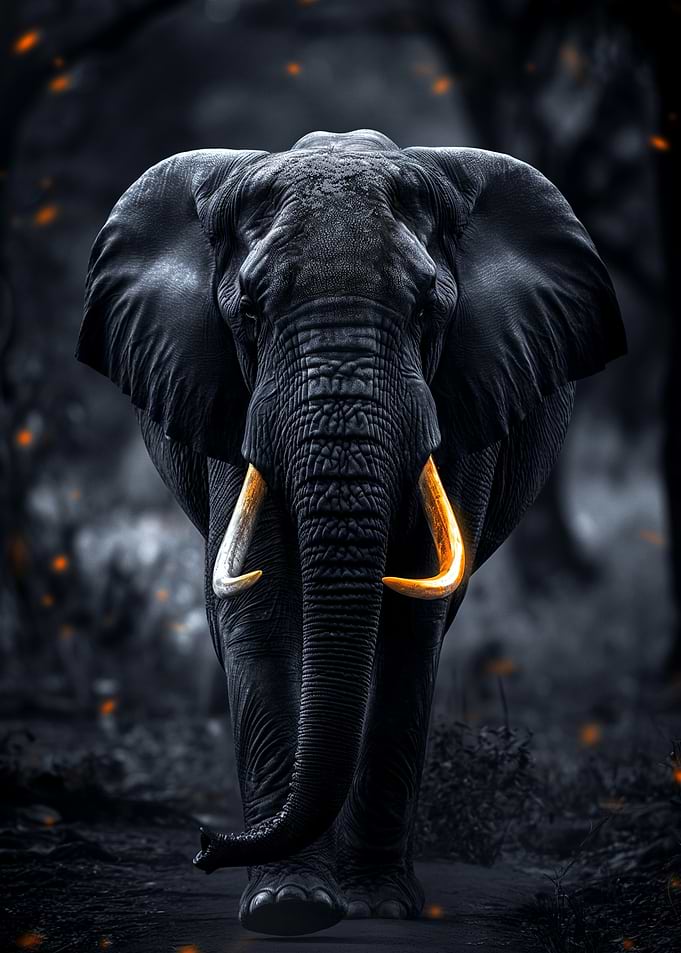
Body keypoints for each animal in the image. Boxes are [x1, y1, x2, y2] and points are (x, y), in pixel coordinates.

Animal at [76, 129, 625, 935]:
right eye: (249, 311)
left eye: (426, 312)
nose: (205, 846)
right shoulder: (227, 397)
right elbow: (260, 602)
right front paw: (288, 906)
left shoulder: (465, 393)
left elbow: (408, 620)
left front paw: (376, 905)